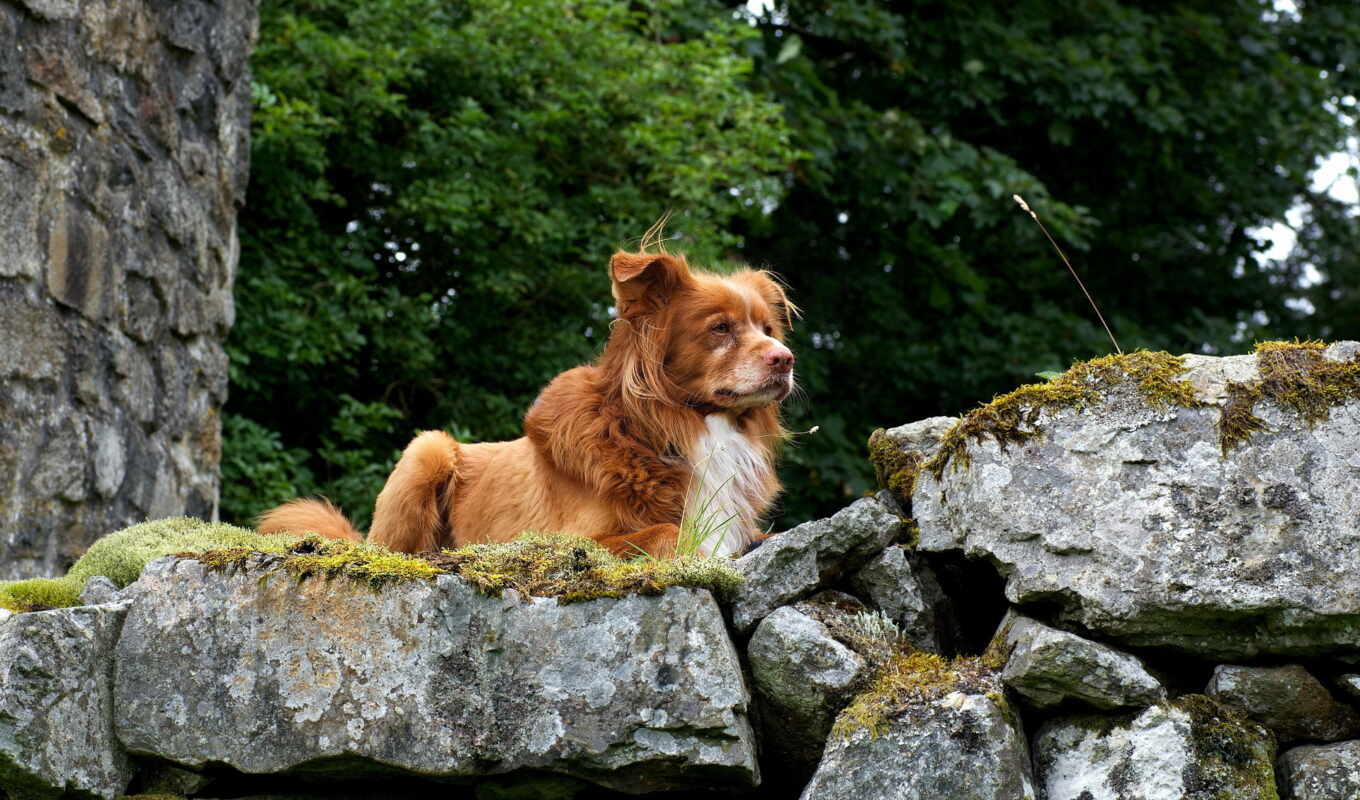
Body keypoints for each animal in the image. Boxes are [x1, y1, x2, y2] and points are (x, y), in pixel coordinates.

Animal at [257, 246, 794, 560]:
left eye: (768, 328)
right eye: (719, 328)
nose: (785, 360)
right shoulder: (563, 537)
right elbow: (666, 533)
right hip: (427, 449)